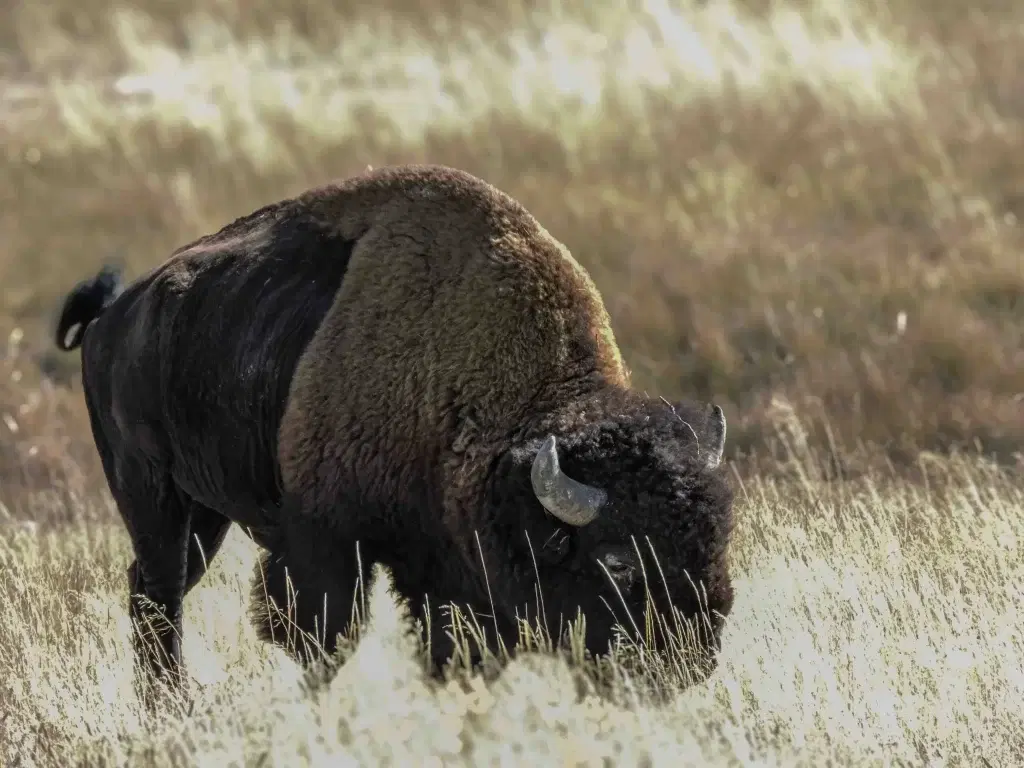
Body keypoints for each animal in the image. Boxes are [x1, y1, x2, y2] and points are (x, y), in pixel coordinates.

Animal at [55, 164, 735, 702]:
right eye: (618, 561)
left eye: (718, 538)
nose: (691, 660)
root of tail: (113, 316)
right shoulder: (326, 541)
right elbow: (322, 636)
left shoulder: (443, 570)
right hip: (151, 494)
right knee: (160, 595)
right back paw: (170, 703)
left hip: (205, 515)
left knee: (150, 590)